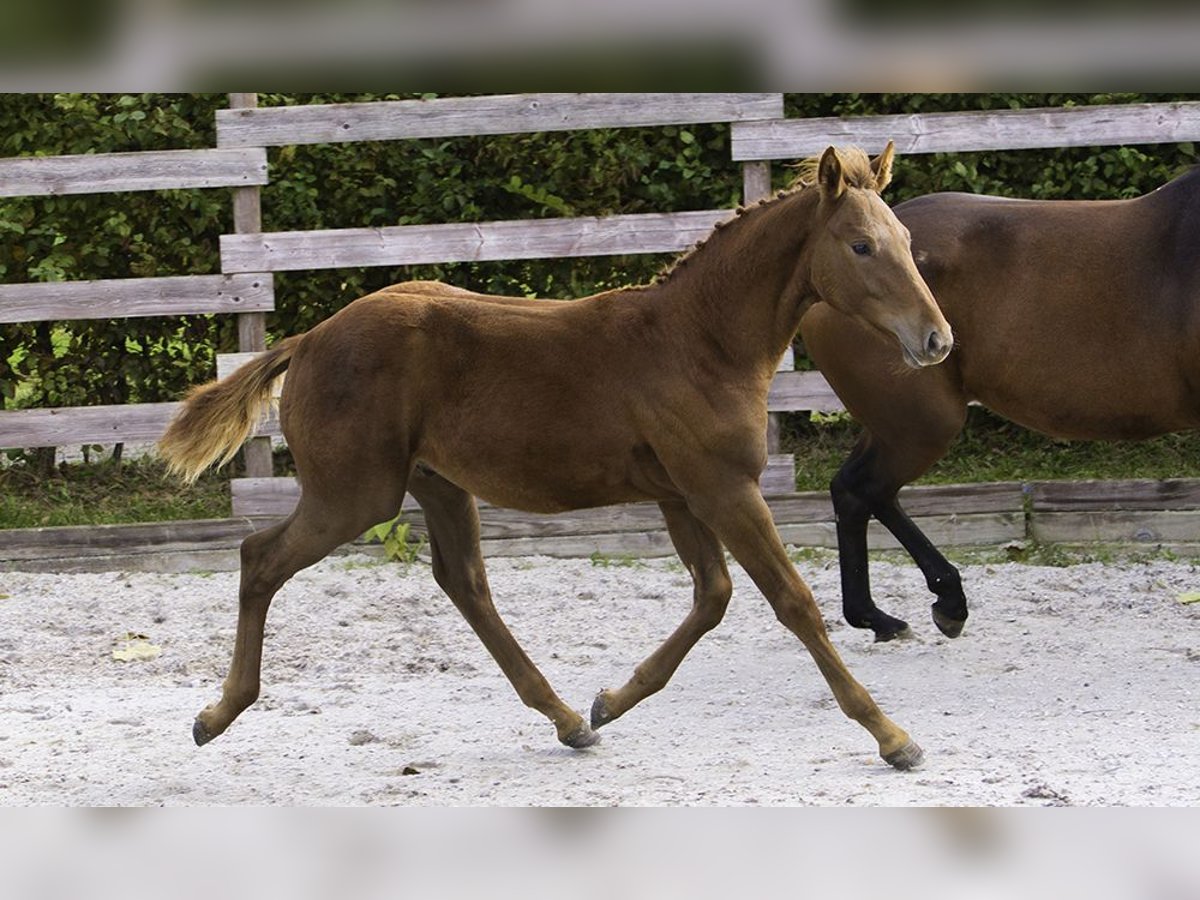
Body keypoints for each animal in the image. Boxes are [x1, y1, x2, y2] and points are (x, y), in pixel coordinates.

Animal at [159, 144, 950, 772]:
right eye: (861, 246)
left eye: (906, 238)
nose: (937, 340)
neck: (699, 341)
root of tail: (308, 340)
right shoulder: (722, 488)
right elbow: (792, 602)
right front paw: (892, 736)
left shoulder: (682, 494)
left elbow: (712, 597)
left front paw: (609, 702)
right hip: (355, 495)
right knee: (260, 557)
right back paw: (215, 716)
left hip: (438, 484)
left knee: (465, 584)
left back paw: (568, 720)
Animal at [801, 165, 1200, 643]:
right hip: (922, 423)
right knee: (865, 489)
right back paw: (938, 605)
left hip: (893, 422)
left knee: (853, 491)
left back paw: (882, 615)